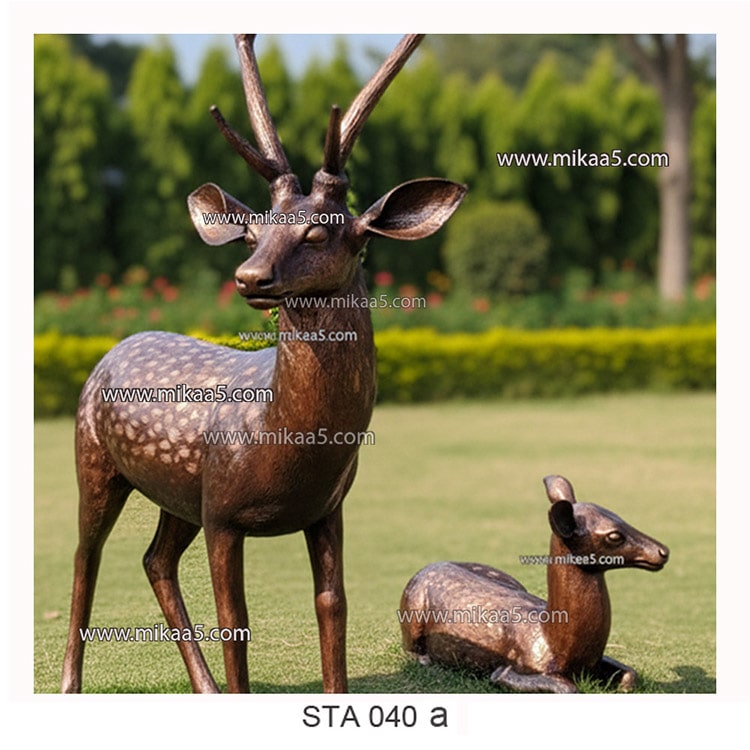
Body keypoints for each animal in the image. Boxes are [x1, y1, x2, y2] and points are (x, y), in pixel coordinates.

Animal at [61, 33, 466, 694]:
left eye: (319, 232)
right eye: (252, 234)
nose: (249, 277)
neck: (285, 439)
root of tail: (116, 346)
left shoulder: (326, 509)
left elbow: (332, 605)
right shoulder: (226, 514)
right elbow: (237, 618)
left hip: (180, 494)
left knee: (154, 559)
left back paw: (204, 686)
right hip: (94, 457)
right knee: (85, 554)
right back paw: (71, 683)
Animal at [399, 475, 669, 693]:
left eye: (621, 516)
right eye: (614, 536)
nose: (663, 551)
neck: (554, 639)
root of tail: (431, 564)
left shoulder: (596, 661)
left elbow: (630, 674)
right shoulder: (510, 669)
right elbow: (568, 688)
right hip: (411, 615)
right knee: (413, 650)